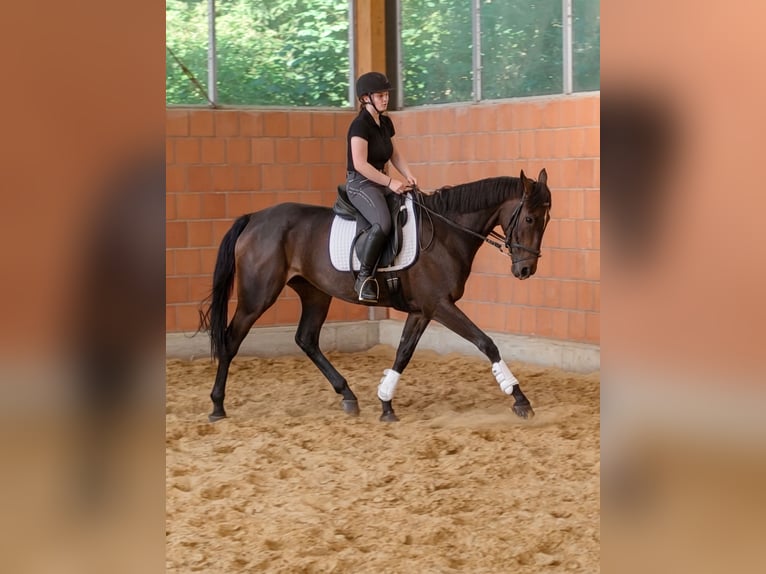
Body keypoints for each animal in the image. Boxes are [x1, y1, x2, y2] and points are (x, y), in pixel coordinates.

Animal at [199, 169, 551, 422]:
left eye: (546, 219)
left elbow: (403, 353)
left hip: (315, 293)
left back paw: (347, 395)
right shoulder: (440, 305)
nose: (525, 270)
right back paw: (217, 406)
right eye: (530, 218)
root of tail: (254, 218)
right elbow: (486, 343)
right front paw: (520, 399)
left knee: (306, 339)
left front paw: (385, 403)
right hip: (257, 296)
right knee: (231, 339)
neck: (446, 232)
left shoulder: (422, 310)